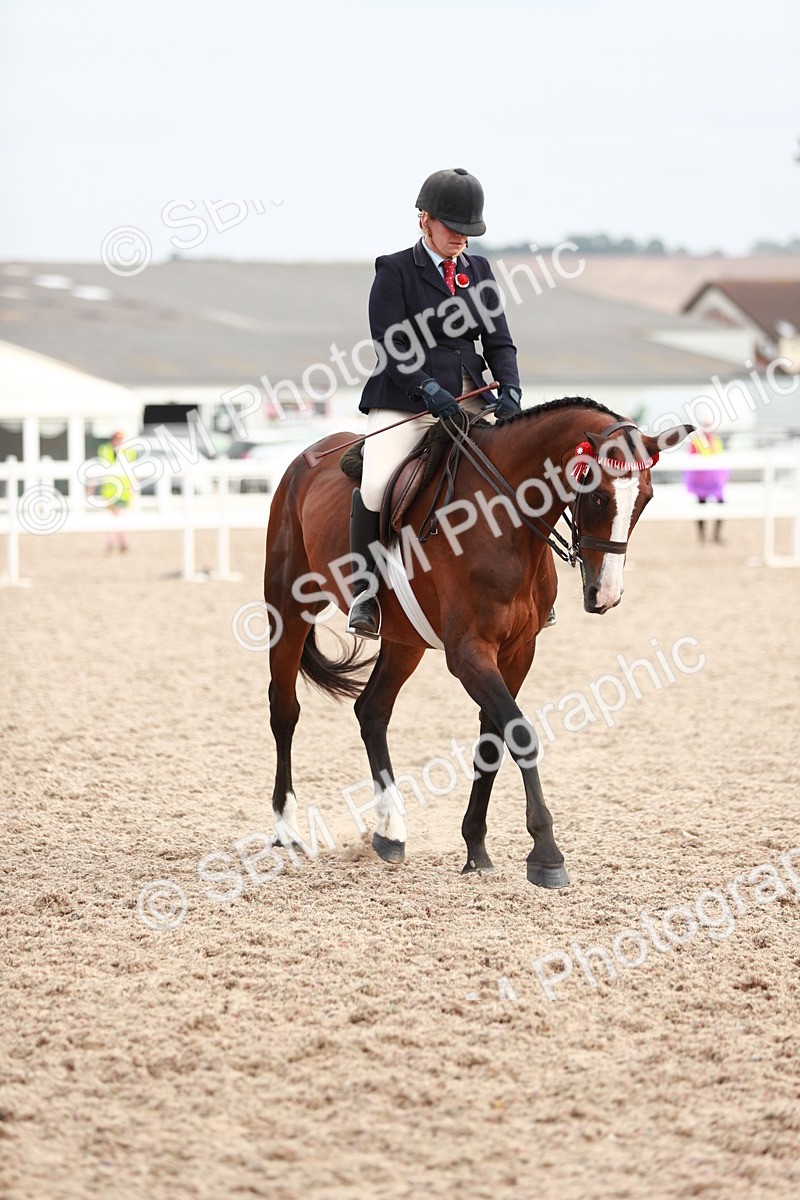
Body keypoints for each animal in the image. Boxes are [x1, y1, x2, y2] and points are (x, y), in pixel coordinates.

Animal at [263, 397, 692, 888]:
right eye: (599, 495)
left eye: (646, 498)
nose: (606, 595)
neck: (504, 519)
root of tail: (304, 458)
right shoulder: (469, 653)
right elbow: (520, 734)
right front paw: (546, 855)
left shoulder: (517, 652)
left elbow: (492, 743)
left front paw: (476, 849)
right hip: (287, 607)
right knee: (285, 711)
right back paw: (287, 830)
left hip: (405, 639)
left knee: (372, 710)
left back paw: (390, 831)